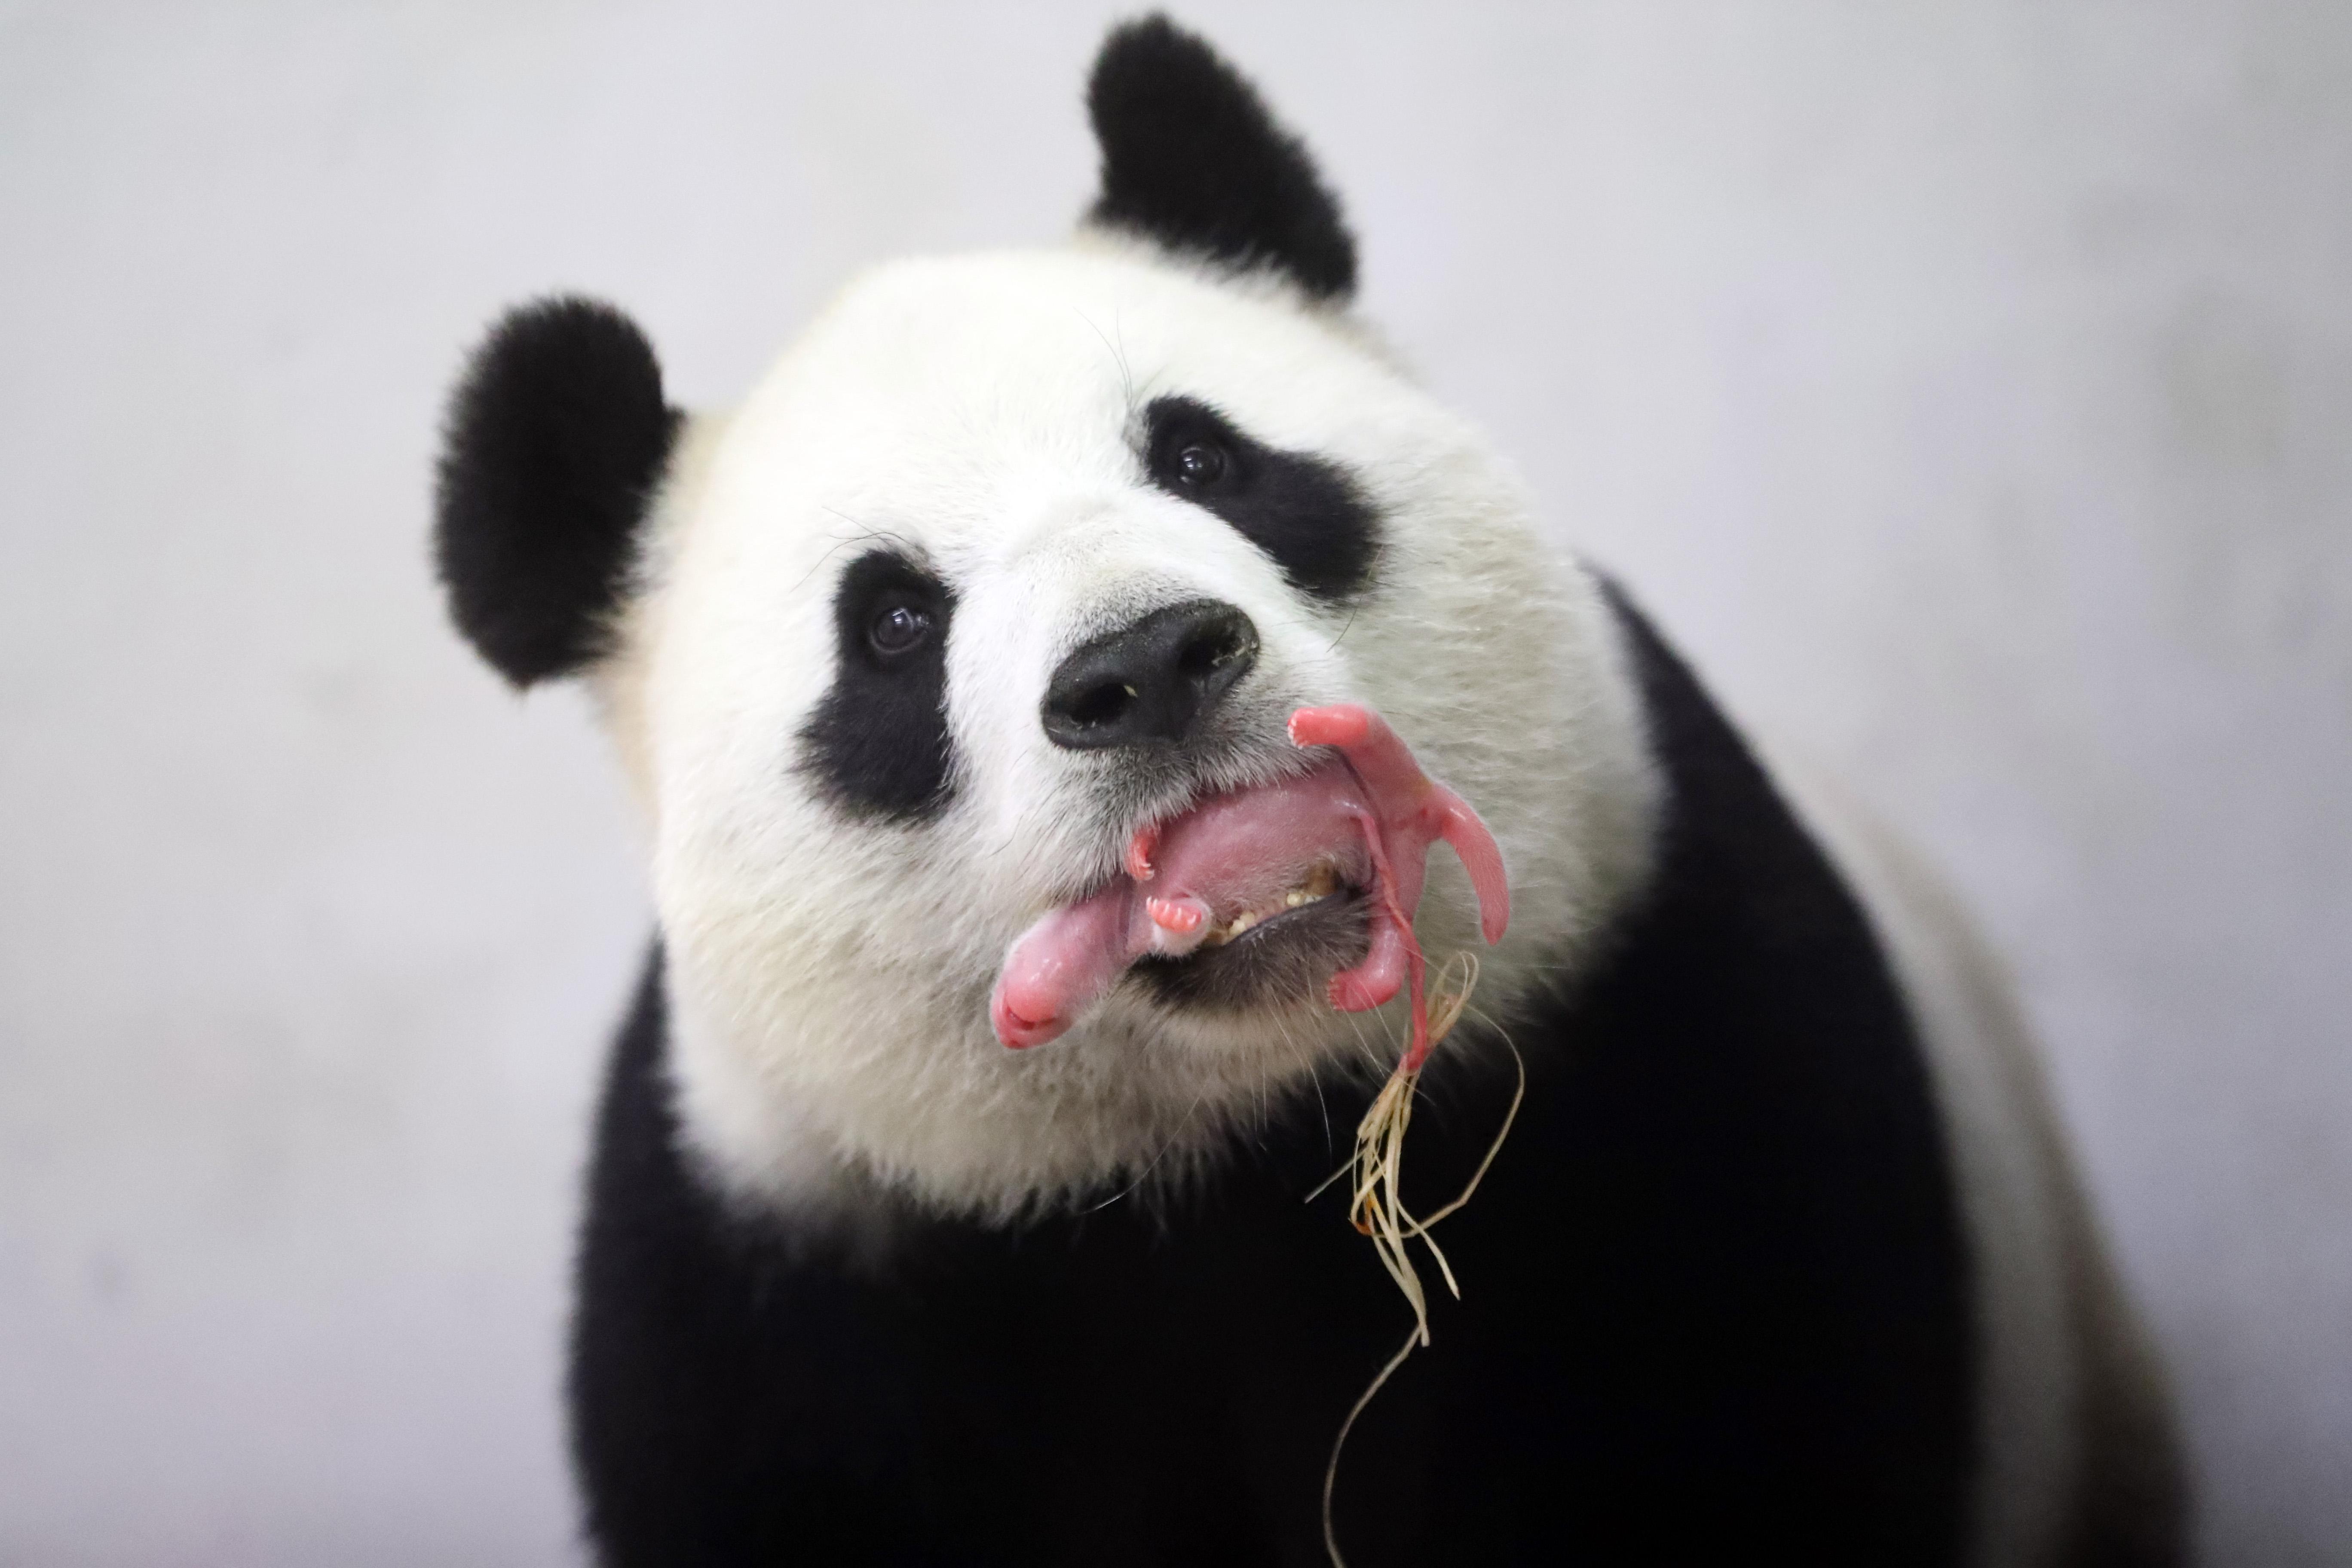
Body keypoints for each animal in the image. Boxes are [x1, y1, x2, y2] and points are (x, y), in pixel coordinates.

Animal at [433, 17, 2182, 1567]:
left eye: (1205, 458)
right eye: (892, 625)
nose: (1145, 664)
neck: (1236, 1139)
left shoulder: (1663, 1021)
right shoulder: (793, 1255)